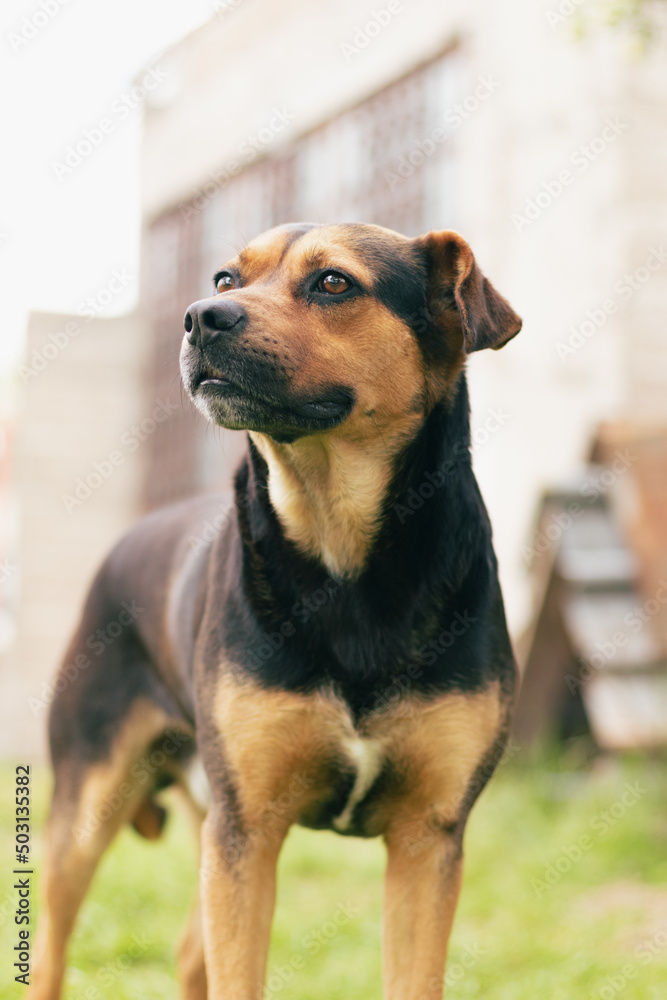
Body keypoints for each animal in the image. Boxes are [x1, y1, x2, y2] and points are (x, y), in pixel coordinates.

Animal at [30, 225, 520, 1000]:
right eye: (226, 280)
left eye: (333, 283)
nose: (200, 318)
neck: (343, 556)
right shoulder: (248, 829)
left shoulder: (429, 836)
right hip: (88, 804)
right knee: (51, 952)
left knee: (188, 952)